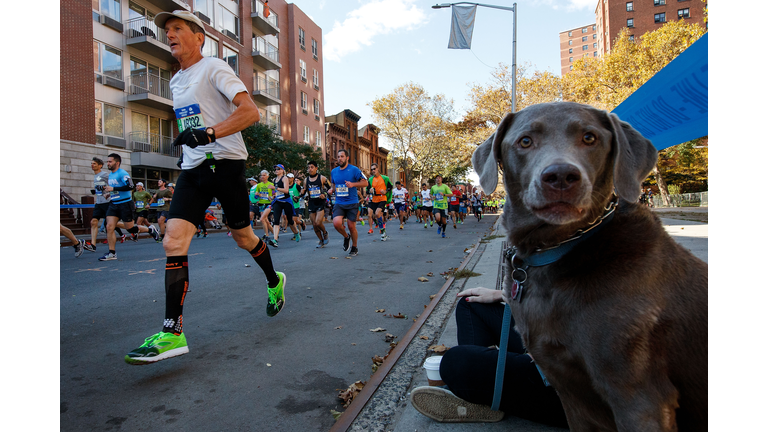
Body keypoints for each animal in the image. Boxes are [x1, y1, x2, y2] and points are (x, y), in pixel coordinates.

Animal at [474, 103, 708, 430]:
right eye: (525, 141)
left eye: (589, 137)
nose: (561, 176)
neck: (556, 249)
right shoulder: (567, 391)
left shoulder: (640, 399)